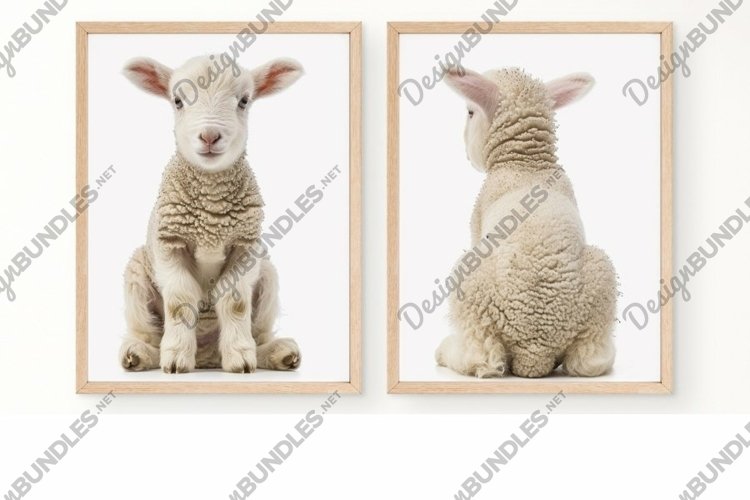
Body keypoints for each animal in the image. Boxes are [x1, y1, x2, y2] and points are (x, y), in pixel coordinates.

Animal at [118, 54, 303, 374]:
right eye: (178, 101)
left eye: (244, 101)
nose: (209, 136)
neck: (212, 210)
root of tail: (206, 357)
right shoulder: (169, 244)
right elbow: (180, 301)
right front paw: (176, 359)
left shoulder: (245, 246)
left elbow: (235, 302)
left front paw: (240, 358)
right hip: (137, 275)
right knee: (147, 334)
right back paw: (139, 354)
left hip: (267, 274)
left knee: (260, 334)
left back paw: (279, 353)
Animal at [435, 67, 617, 379]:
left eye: (470, 112)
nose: (468, 156)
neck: (526, 163)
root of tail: (534, 353)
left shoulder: (477, 218)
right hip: (600, 289)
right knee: (589, 360)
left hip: (473, 291)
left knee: (484, 357)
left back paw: (445, 352)